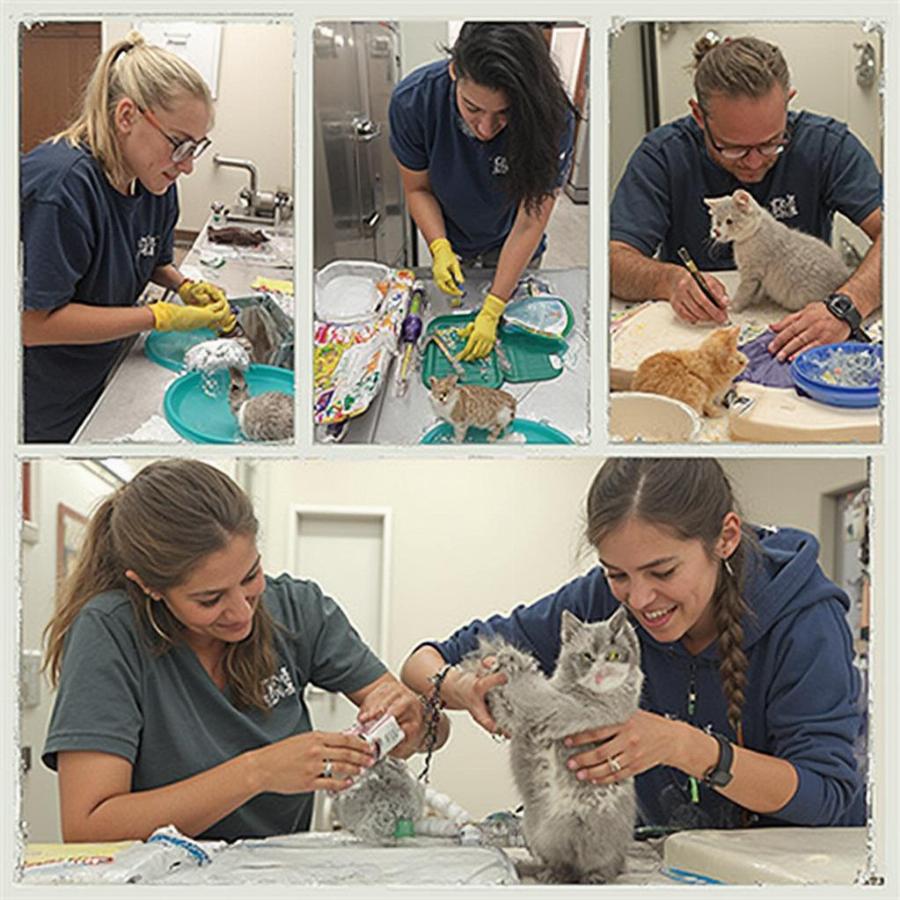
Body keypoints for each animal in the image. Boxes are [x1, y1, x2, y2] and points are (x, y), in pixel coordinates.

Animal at [460, 608, 644, 884]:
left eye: (614, 655)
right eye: (587, 656)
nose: (601, 673)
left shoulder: (555, 709)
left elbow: (531, 691)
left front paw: (512, 661)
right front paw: (497, 661)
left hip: (599, 841)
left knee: (604, 866)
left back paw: (592, 879)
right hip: (541, 833)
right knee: (561, 863)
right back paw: (548, 874)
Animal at [704, 189, 852, 312]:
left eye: (729, 221)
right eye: (717, 222)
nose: (716, 232)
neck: (755, 233)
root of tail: (845, 274)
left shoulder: (751, 274)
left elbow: (744, 292)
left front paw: (733, 305)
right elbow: (757, 291)